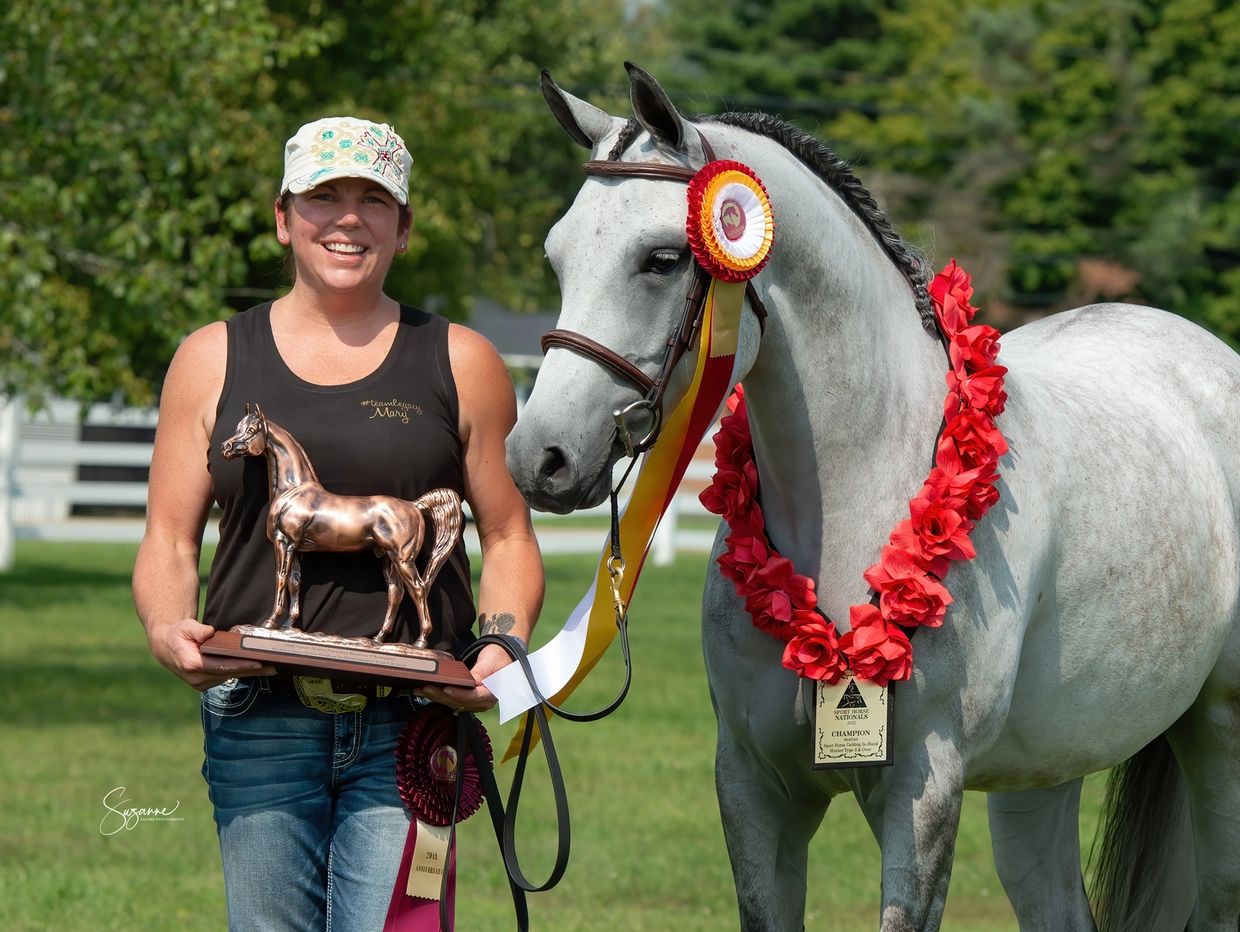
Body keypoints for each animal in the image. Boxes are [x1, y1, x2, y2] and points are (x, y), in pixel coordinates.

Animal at [220, 402, 462, 649]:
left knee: (418, 589)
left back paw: (421, 642)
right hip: (388, 559)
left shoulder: (284, 542)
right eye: (239, 427)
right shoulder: (296, 548)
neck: (293, 492)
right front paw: (289, 624)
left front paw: (270, 622)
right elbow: (294, 582)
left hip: (403, 559)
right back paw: (378, 639)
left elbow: (281, 577)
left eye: (252, 430)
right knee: (396, 593)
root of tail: (415, 505)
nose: (226, 447)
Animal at [504, 64, 1240, 931]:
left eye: (659, 258)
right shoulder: (753, 788)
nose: (539, 457)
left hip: (1219, 739)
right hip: (1045, 774)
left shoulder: (923, 793)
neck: (862, 489)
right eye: (556, 256)